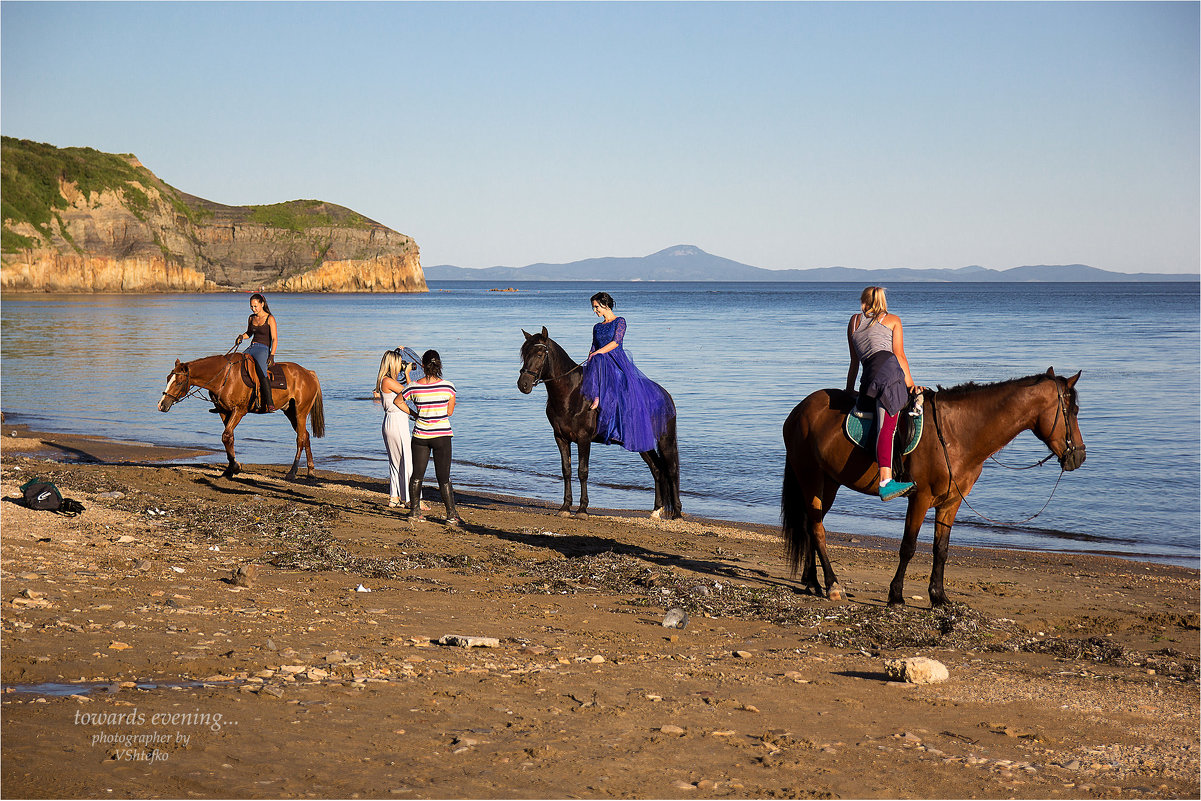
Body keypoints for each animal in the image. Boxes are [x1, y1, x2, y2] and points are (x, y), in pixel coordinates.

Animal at [159, 353, 331, 480]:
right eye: (168, 378)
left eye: (179, 382)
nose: (161, 405)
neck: (224, 377)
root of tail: (308, 373)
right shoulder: (224, 412)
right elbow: (229, 437)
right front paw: (230, 469)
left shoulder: (239, 411)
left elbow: (226, 436)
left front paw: (235, 467)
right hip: (290, 412)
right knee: (305, 435)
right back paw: (310, 471)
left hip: (300, 412)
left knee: (300, 438)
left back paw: (292, 472)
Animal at [783, 369, 1085, 607]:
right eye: (1072, 411)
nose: (1079, 456)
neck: (955, 432)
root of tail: (800, 409)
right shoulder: (920, 498)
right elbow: (908, 546)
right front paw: (896, 596)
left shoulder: (950, 501)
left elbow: (941, 549)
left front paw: (938, 597)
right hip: (810, 477)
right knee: (818, 530)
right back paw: (833, 585)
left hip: (828, 483)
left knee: (810, 526)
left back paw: (813, 582)